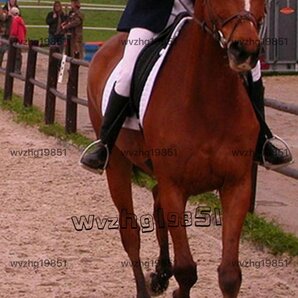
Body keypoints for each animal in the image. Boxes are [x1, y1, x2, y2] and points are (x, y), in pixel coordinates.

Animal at [86, 0, 266, 298]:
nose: (245, 50)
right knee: (130, 233)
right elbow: (187, 271)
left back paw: (160, 273)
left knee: (156, 203)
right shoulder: (175, 187)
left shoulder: (237, 185)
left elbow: (230, 275)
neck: (209, 99)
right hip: (117, 164)